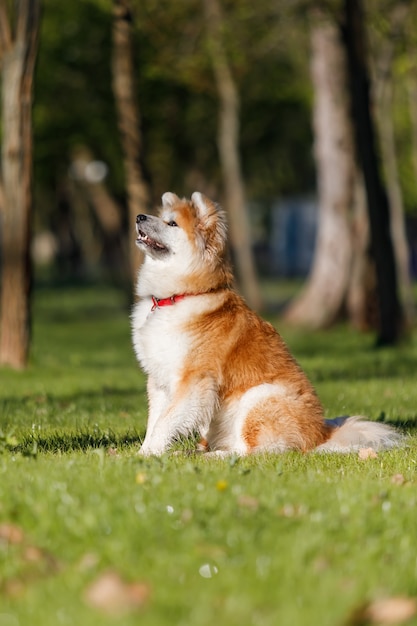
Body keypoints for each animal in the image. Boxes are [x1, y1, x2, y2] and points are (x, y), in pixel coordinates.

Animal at [131, 190, 400, 454]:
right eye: (160, 217)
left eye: (171, 223)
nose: (139, 216)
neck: (178, 296)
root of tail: (320, 436)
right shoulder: (159, 381)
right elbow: (155, 421)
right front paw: (146, 452)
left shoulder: (193, 380)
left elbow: (165, 421)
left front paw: (148, 456)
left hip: (257, 397)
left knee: (253, 451)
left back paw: (214, 457)